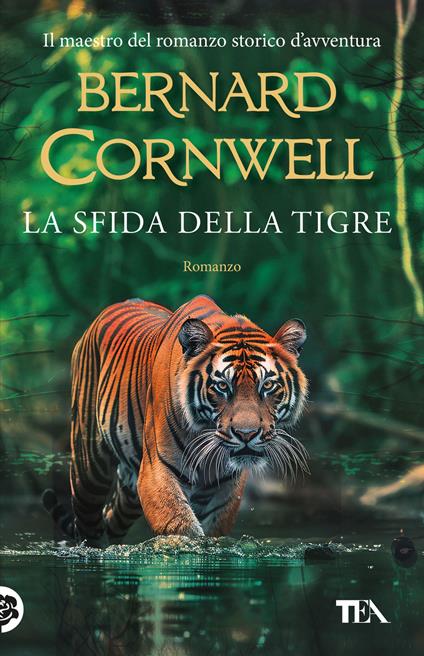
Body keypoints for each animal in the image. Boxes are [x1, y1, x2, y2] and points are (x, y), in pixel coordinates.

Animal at [43, 295, 309, 545]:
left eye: (268, 385)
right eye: (222, 386)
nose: (247, 434)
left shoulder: (224, 490)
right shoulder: (156, 473)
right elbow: (182, 529)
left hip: (130, 489)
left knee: (111, 519)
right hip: (89, 468)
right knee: (89, 525)